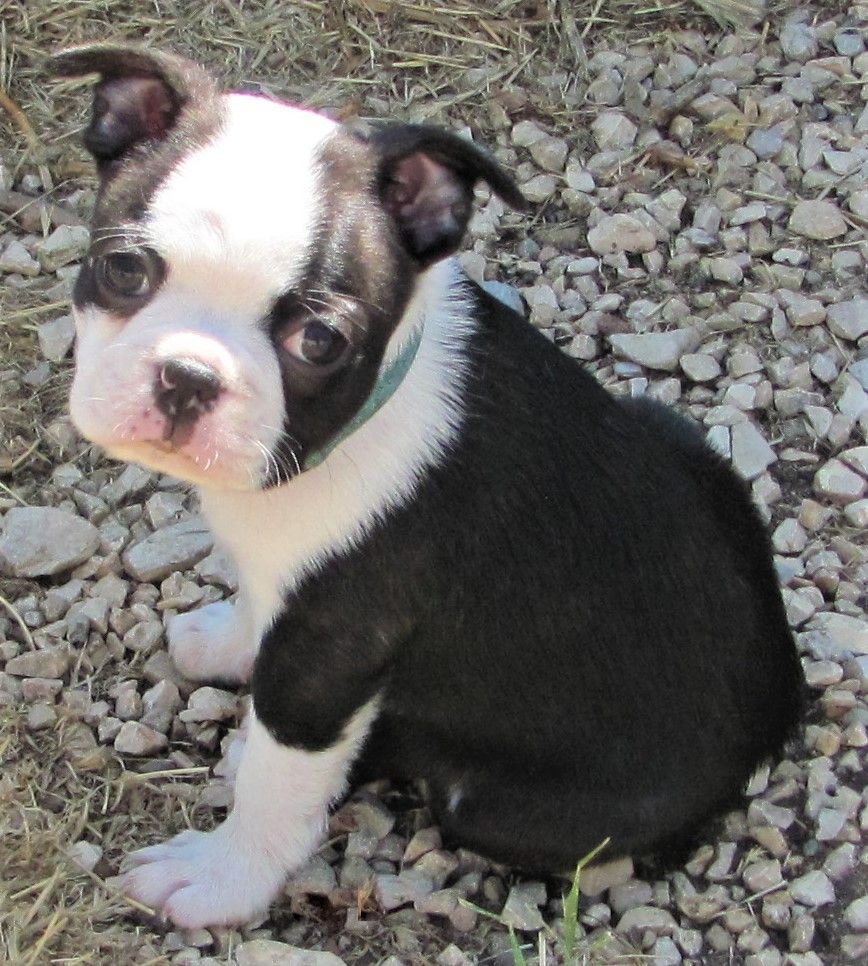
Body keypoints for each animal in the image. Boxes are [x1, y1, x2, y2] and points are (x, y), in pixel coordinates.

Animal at [53, 44, 804, 929]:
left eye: (318, 341)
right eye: (122, 269)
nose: (189, 376)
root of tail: (778, 706)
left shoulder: (328, 654)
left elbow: (278, 776)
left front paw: (222, 876)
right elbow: (255, 602)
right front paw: (231, 639)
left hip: (497, 805)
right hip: (675, 430)